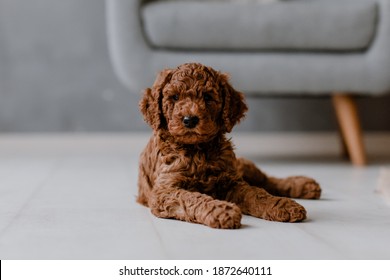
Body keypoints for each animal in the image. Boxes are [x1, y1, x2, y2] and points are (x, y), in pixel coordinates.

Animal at [137, 62, 320, 229]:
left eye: (207, 97)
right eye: (174, 97)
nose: (190, 120)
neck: (198, 150)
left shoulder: (231, 181)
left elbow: (256, 193)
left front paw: (282, 204)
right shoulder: (164, 190)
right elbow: (192, 198)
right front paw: (222, 211)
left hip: (241, 167)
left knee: (267, 180)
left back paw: (304, 185)